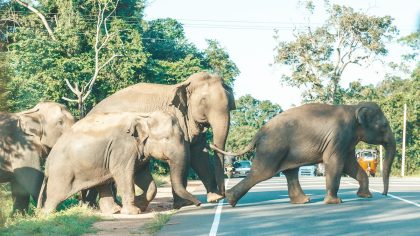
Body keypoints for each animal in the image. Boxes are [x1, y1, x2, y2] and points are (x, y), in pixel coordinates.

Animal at [38, 111, 201, 214]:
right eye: (166, 138)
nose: (199, 204)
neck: (143, 115)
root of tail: (48, 163)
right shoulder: (123, 148)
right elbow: (124, 174)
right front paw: (134, 212)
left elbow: (143, 176)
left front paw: (139, 204)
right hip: (62, 171)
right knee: (55, 194)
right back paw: (46, 215)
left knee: (102, 183)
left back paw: (114, 211)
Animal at [87, 71, 235, 209]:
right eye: (203, 100)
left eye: (230, 102)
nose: (224, 195)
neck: (183, 84)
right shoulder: (178, 119)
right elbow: (188, 156)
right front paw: (184, 204)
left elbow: (199, 154)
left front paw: (214, 198)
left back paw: (96, 206)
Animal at [213, 101, 398, 206]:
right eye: (384, 125)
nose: (384, 194)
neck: (353, 108)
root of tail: (259, 133)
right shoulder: (339, 135)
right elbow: (334, 162)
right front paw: (335, 202)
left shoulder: (347, 141)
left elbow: (350, 165)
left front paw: (365, 196)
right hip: (272, 149)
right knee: (262, 173)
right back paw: (230, 200)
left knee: (290, 172)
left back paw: (304, 201)